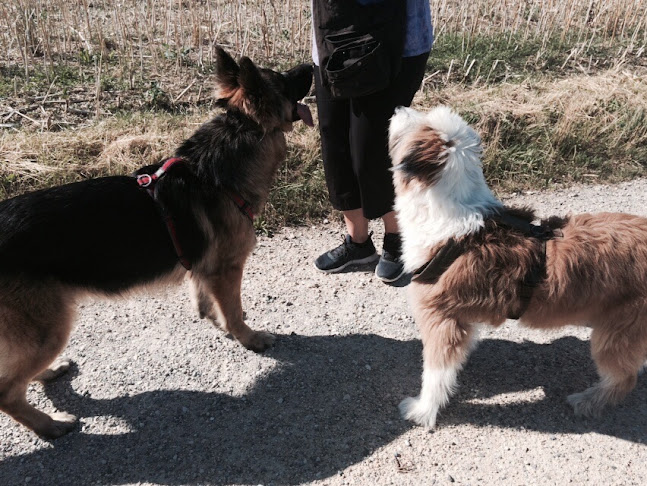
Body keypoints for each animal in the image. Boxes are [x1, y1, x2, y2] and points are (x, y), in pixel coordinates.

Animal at [0, 47, 314, 438]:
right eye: (284, 81)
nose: (314, 64)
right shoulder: (227, 269)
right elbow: (234, 310)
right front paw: (249, 338)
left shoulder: (205, 270)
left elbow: (207, 302)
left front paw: (217, 323)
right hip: (49, 327)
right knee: (7, 391)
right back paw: (50, 425)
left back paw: (48, 375)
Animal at [390, 104, 647, 428]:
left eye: (417, 121)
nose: (399, 107)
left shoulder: (441, 320)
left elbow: (435, 374)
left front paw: (422, 411)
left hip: (617, 331)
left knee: (623, 378)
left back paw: (589, 400)